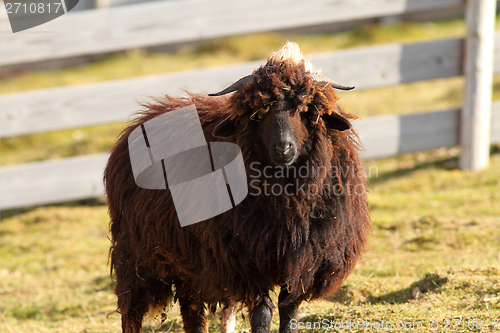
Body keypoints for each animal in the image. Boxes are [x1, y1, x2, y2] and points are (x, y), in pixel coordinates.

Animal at [104, 41, 372, 332]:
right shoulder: (247, 262)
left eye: (306, 110)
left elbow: (289, 310)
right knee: (132, 310)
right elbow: (262, 313)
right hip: (136, 254)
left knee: (191, 310)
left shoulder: (304, 260)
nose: (283, 147)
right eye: (258, 114)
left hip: (189, 262)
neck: (288, 199)